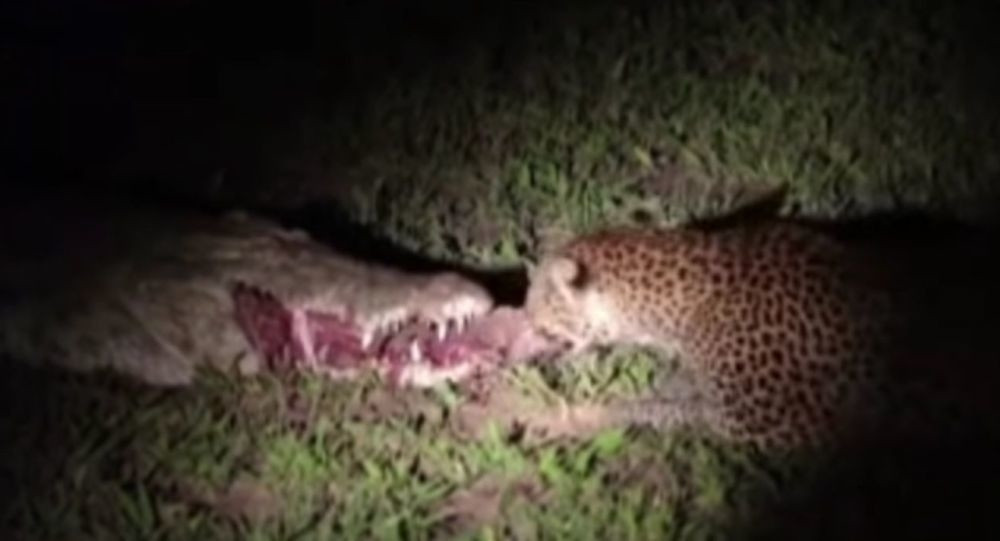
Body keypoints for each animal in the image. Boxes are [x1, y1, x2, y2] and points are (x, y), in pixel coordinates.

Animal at [525, 219, 1000, 452]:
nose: (524, 327)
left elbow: (650, 408)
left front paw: (564, 420)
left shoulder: (769, 425)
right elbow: (662, 396)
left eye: (534, 306)